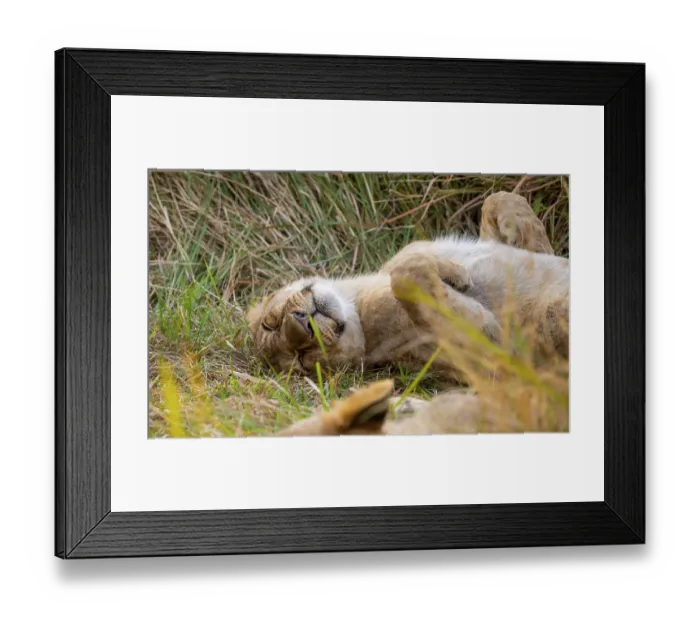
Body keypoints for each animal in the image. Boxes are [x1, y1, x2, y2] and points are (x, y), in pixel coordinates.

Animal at [247, 191, 569, 375]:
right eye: (302, 359)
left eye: (270, 323)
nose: (301, 324)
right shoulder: (497, 351)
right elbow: (405, 274)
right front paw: (460, 279)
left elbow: (498, 200)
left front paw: (534, 242)